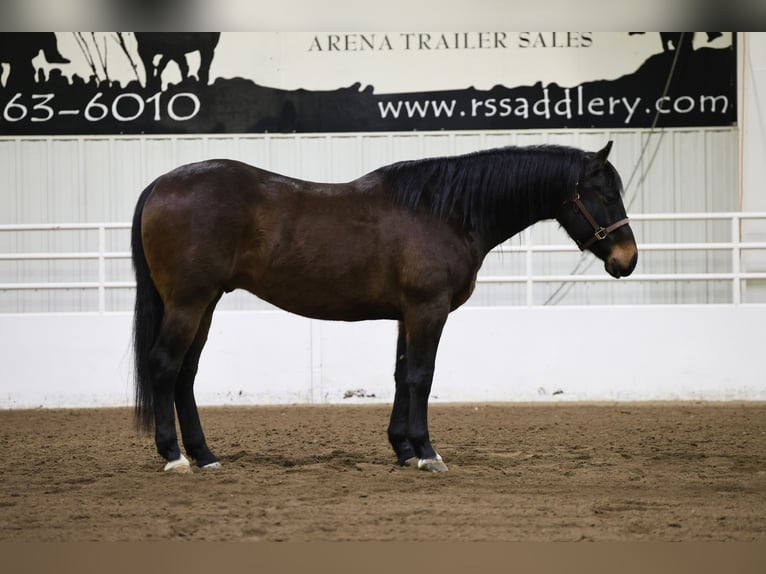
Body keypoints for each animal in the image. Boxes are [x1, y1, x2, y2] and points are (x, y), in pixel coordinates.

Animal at [130, 142, 636, 474]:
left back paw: (204, 456)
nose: (627, 260)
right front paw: (428, 454)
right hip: (189, 302)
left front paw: (403, 450)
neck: (444, 211)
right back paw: (175, 457)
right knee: (165, 366)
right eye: (605, 194)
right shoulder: (428, 309)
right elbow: (422, 376)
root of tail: (161, 184)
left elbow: (400, 374)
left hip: (206, 304)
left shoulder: (407, 315)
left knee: (185, 373)